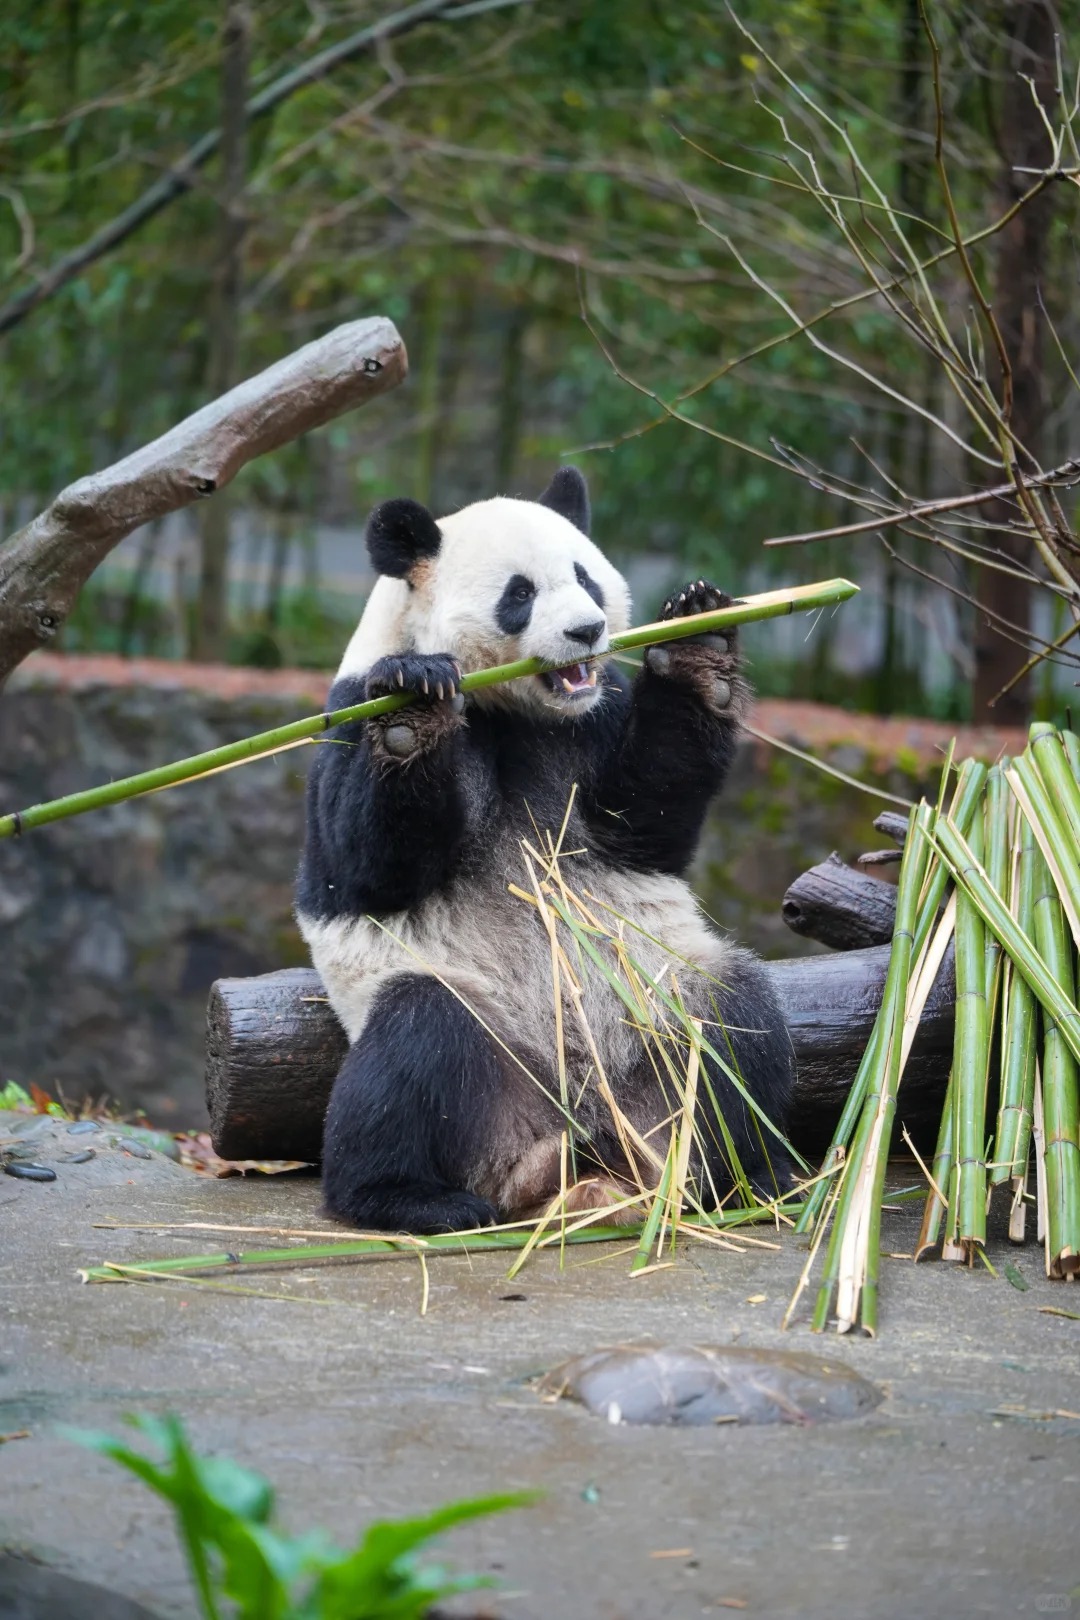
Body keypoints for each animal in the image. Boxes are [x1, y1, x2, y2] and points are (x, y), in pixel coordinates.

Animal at [295, 468, 794, 1234]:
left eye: (585, 577)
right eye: (520, 593)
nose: (587, 630)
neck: (521, 712)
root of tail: (576, 1155)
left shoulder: (598, 718)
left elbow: (648, 818)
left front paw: (701, 648)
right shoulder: (349, 714)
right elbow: (363, 869)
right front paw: (413, 706)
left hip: (657, 1007)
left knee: (735, 1027)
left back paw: (751, 1179)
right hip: (485, 1049)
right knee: (415, 1045)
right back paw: (410, 1198)